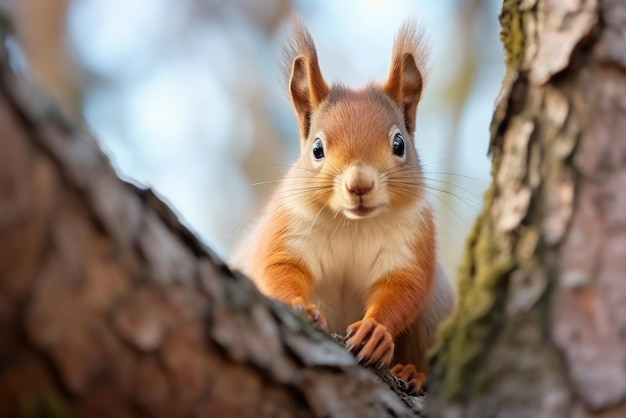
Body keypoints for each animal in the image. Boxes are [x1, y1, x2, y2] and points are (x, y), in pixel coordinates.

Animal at [229, 18, 454, 392]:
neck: (354, 224)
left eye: (399, 143)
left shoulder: (412, 245)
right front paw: (299, 307)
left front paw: (375, 332)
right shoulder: (285, 229)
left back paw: (412, 372)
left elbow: (403, 288)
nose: (359, 185)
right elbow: (278, 268)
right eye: (317, 148)